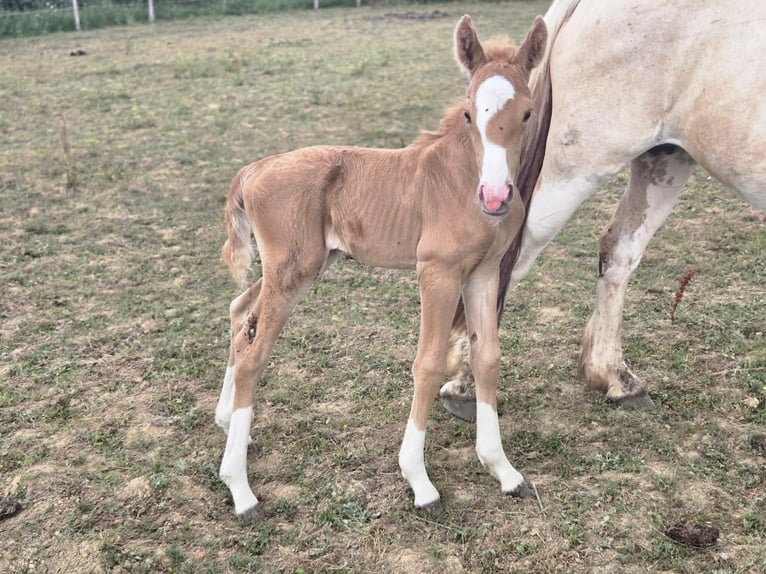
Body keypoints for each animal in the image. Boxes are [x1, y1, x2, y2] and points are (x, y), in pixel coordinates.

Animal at [214, 14, 549, 519]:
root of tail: (256, 167)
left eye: (527, 113)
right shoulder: (437, 272)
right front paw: (419, 480)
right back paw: (240, 488)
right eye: (470, 113)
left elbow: (487, 357)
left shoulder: (484, 273)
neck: (460, 178)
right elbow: (428, 363)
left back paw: (228, 421)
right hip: (292, 270)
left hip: (299, 266)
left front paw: (502, 469)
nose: (494, 197)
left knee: (240, 313)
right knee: (255, 353)